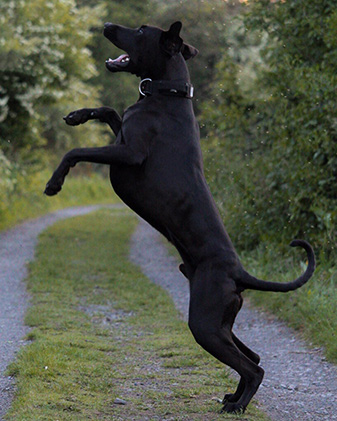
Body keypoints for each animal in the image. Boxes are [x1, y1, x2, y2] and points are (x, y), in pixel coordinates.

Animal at [44, 21, 316, 412]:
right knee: (253, 357)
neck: (166, 93)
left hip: (204, 324)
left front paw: (55, 183)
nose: (107, 25)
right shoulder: (121, 135)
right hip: (221, 323)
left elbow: (76, 151)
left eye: (140, 30)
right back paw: (233, 396)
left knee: (253, 367)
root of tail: (240, 273)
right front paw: (77, 115)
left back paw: (236, 406)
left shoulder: (128, 153)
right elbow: (109, 110)